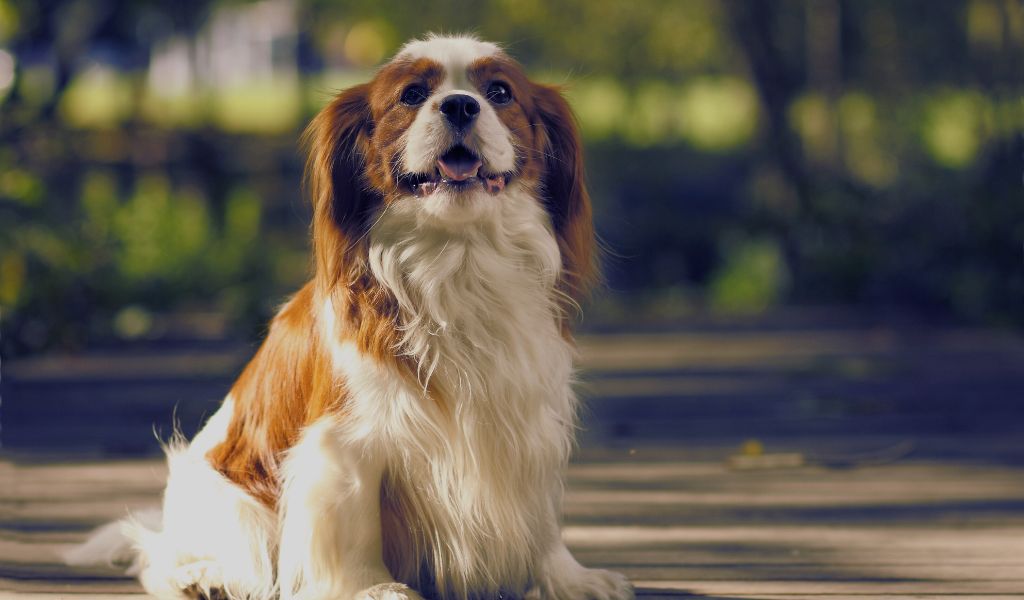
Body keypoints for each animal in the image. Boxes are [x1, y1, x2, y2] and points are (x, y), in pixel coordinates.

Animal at [64, 33, 630, 597]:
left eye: (500, 92)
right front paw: (370, 587)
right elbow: (355, 520)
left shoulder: (530, 423)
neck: (459, 258)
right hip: (231, 504)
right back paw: (203, 576)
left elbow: (542, 517)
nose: (460, 104)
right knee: (160, 558)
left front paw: (566, 577)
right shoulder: (343, 444)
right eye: (411, 95)